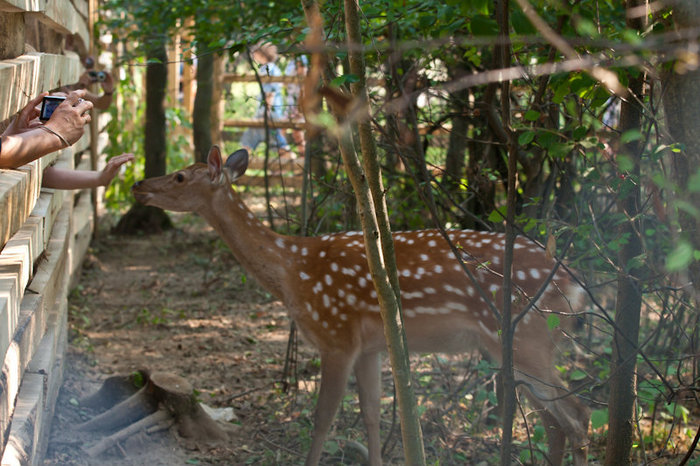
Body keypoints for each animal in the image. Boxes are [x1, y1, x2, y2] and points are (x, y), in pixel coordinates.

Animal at [133, 147, 592, 466]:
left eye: (179, 176)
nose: (139, 185)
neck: (292, 271)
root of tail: (575, 286)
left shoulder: (336, 334)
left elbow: (323, 417)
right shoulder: (370, 346)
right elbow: (372, 413)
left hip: (526, 336)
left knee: (576, 414)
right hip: (516, 346)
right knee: (554, 420)